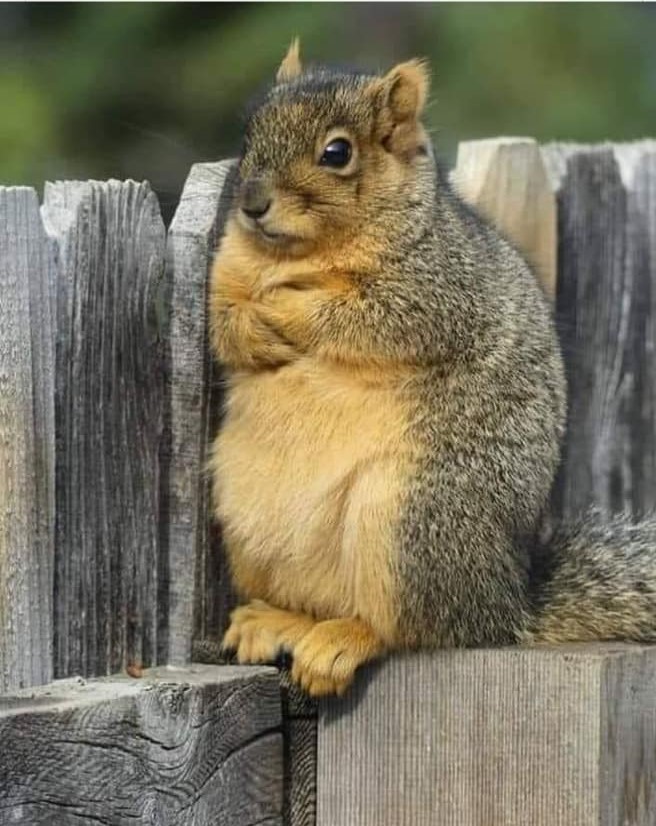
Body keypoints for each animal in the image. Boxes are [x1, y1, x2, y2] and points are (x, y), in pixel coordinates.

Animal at [207, 39, 656, 697]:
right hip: (248, 525)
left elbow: (362, 316)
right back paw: (277, 620)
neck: (297, 255)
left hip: (410, 520)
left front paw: (285, 306)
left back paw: (345, 640)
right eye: (249, 132)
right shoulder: (224, 273)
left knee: (412, 629)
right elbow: (222, 322)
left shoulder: (436, 288)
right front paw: (252, 328)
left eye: (337, 152)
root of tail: (505, 605)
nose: (251, 204)